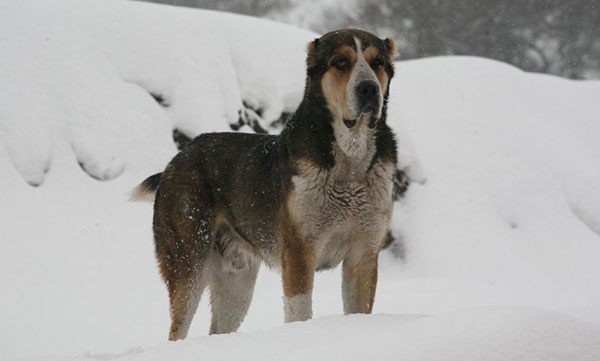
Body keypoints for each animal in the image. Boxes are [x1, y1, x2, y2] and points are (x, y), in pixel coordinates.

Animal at [134, 28, 400, 340]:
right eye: (341, 63)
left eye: (377, 63)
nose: (369, 88)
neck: (350, 163)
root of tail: (174, 162)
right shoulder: (299, 253)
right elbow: (300, 311)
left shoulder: (363, 255)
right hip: (189, 264)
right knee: (177, 328)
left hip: (236, 282)